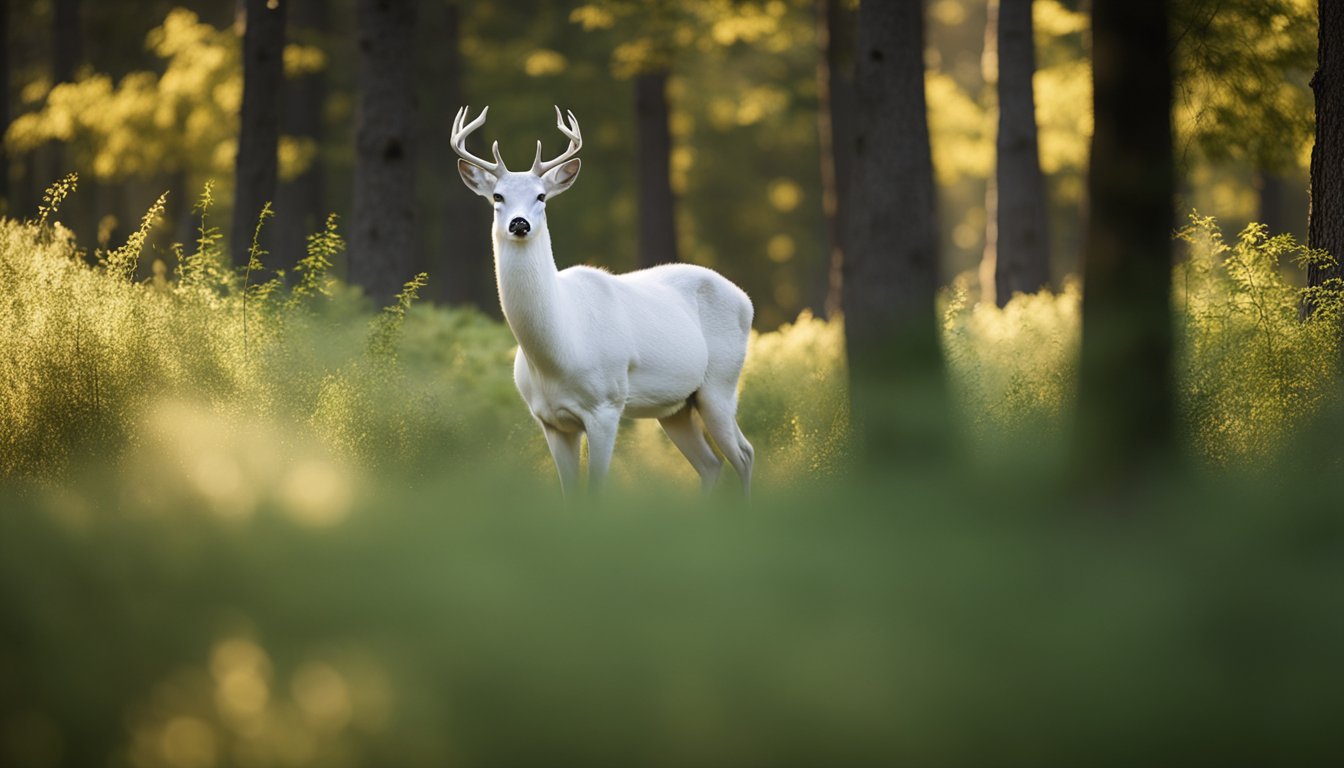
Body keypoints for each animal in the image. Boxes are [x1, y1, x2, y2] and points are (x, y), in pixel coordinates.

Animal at [448, 104, 747, 494]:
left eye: (541, 196)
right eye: (498, 196)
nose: (519, 224)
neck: (558, 351)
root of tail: (745, 299)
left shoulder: (606, 405)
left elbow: (595, 490)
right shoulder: (549, 419)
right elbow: (570, 493)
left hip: (721, 384)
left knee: (743, 455)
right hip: (675, 406)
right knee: (712, 464)